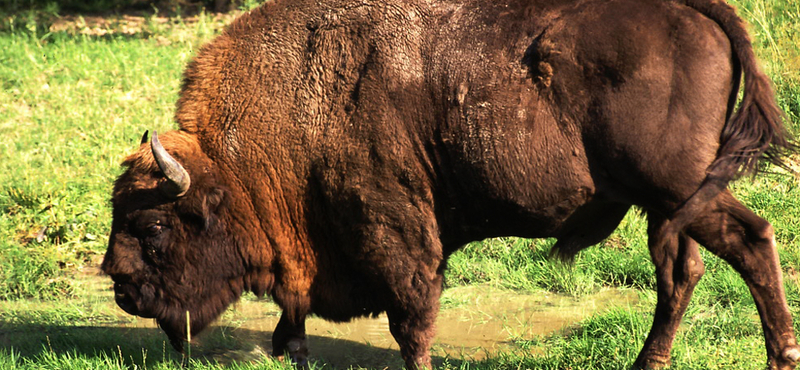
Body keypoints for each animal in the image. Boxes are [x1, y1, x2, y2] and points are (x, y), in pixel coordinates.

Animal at [103, 0, 800, 368]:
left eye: (154, 225)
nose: (119, 284)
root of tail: (692, 10)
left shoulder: (394, 230)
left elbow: (412, 316)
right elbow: (295, 311)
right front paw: (287, 348)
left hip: (683, 191)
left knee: (751, 241)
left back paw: (780, 356)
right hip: (663, 206)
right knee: (682, 272)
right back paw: (648, 363)